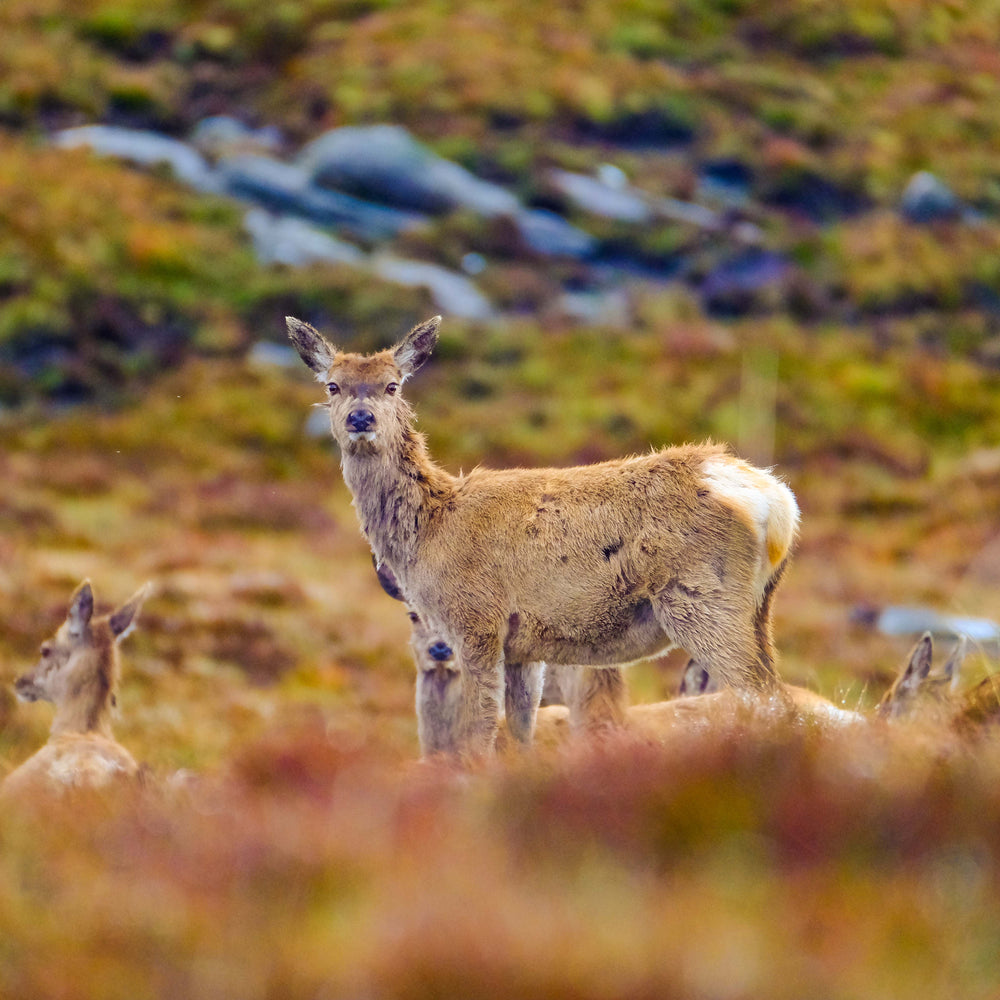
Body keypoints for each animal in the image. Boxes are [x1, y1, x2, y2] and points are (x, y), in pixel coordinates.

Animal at [286, 316, 800, 752]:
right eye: (333, 385)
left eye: (392, 385)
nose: (360, 418)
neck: (430, 532)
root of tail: (777, 501)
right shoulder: (525, 648)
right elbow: (520, 735)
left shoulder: (478, 622)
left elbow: (478, 737)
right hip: (758, 607)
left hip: (700, 598)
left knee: (766, 698)